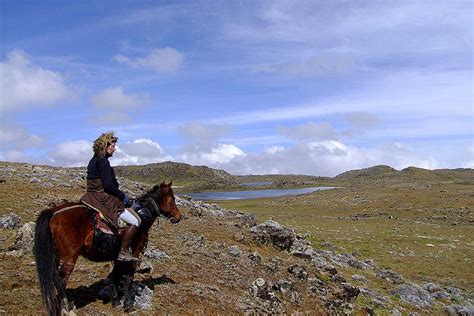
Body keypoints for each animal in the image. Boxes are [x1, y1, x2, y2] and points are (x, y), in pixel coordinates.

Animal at [33, 181, 181, 314]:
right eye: (173, 199)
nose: (178, 217)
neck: (142, 217)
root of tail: (54, 212)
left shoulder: (118, 256)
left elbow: (116, 275)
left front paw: (115, 301)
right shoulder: (135, 253)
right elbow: (129, 277)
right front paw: (128, 305)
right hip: (68, 259)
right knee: (61, 282)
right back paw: (64, 308)